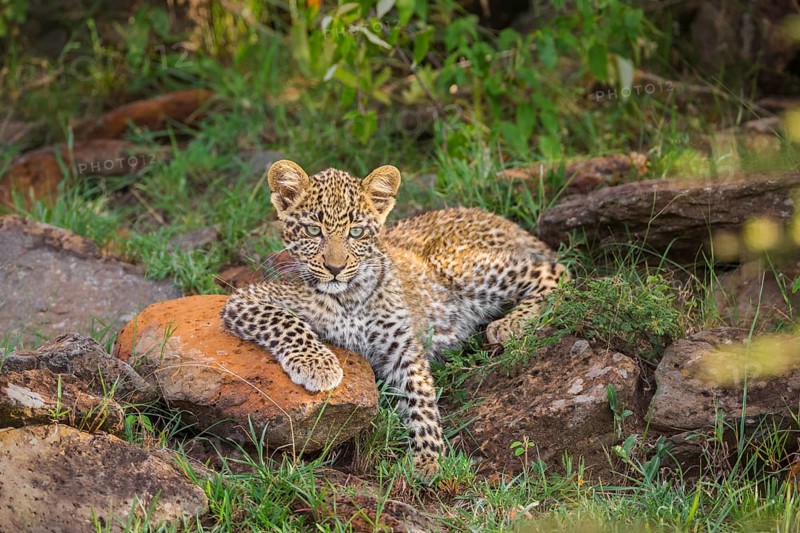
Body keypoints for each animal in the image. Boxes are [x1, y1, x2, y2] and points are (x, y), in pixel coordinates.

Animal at [221, 159, 568, 478]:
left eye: (356, 232)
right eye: (313, 230)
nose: (334, 268)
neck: (348, 297)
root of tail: (493, 216)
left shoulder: (402, 347)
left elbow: (420, 396)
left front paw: (428, 458)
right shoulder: (245, 299)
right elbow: (285, 321)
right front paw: (319, 366)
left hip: (460, 267)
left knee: (556, 270)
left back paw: (509, 325)